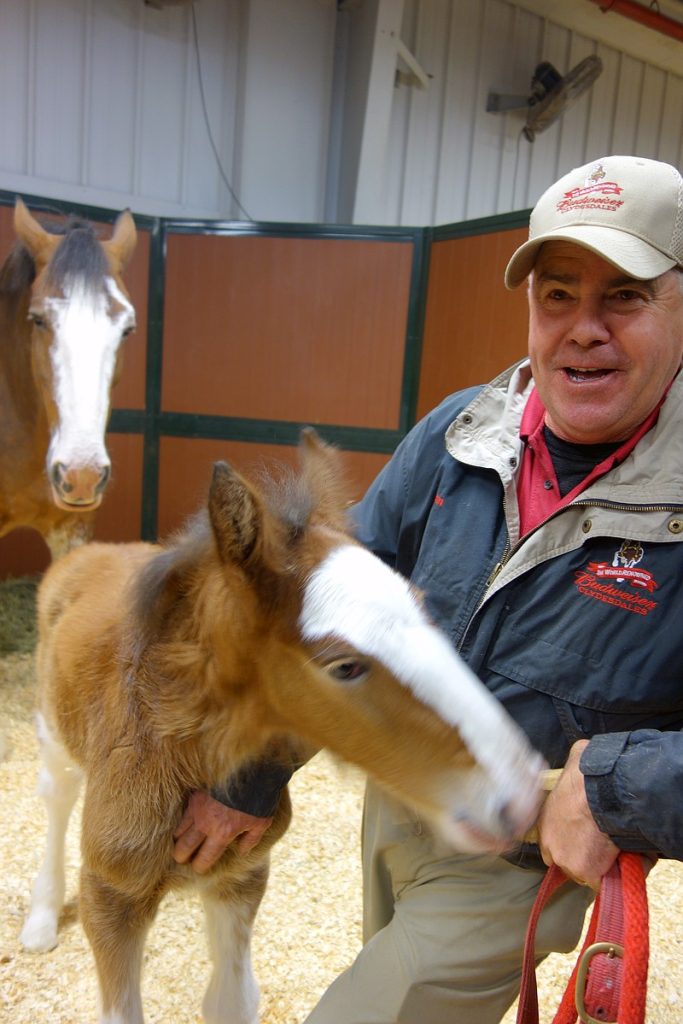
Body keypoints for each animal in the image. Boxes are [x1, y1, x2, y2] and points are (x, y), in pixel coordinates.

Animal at [21, 430, 544, 1024]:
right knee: (57, 795)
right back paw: (40, 918)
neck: (183, 756)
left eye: (421, 604)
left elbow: (230, 1000)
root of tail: (93, 552)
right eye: (343, 666)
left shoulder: (242, 875)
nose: (520, 793)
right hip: (52, 729)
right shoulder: (112, 896)